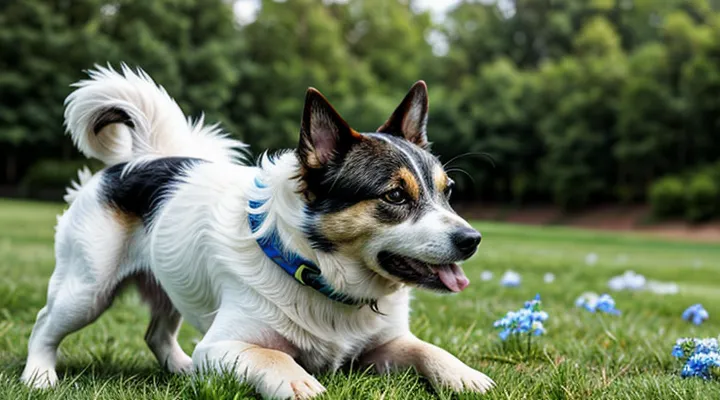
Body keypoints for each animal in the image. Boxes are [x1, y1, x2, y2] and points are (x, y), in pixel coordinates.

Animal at [21, 65, 496, 396]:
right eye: (395, 195)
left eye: (448, 191)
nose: (472, 241)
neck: (318, 273)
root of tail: (140, 159)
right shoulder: (223, 346)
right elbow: (271, 357)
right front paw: (297, 381)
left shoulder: (384, 345)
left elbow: (426, 349)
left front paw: (465, 375)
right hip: (87, 289)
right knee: (45, 325)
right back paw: (39, 376)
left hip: (169, 284)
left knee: (157, 334)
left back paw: (183, 370)